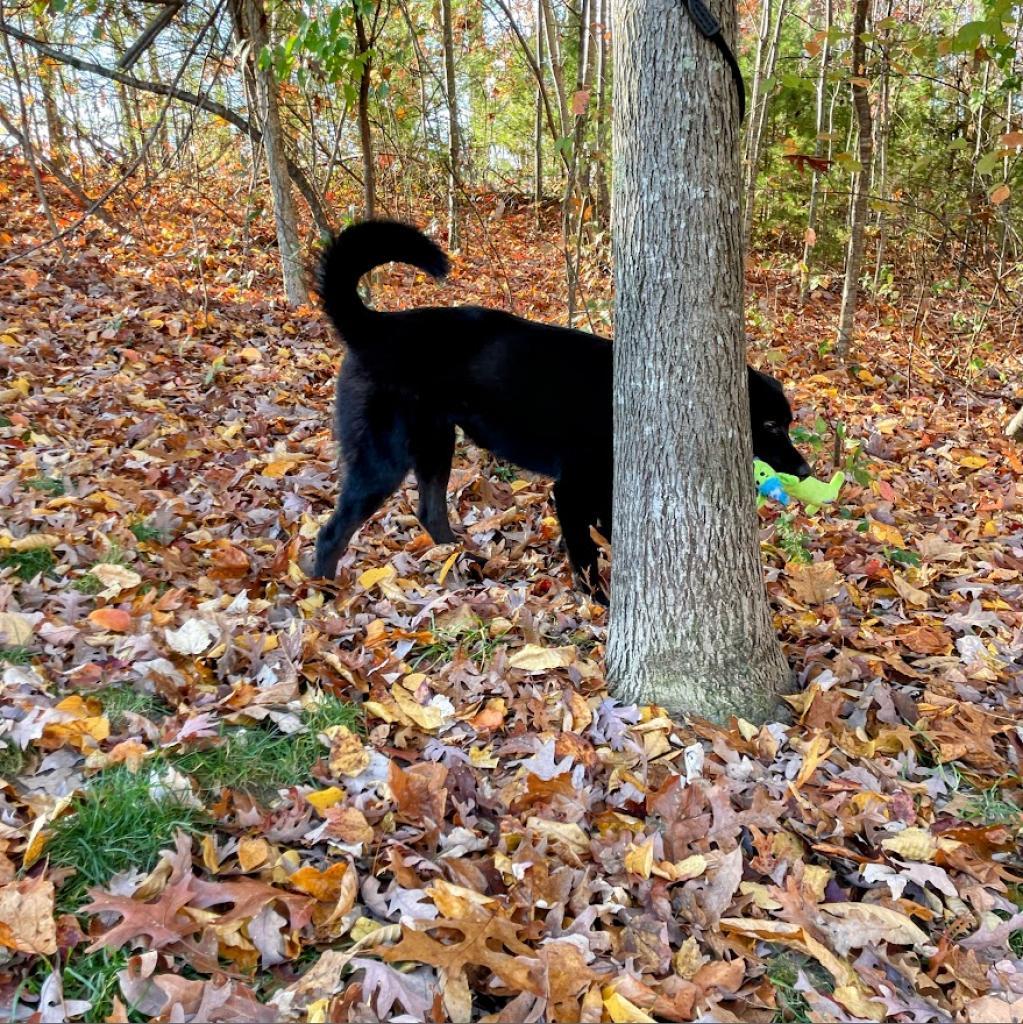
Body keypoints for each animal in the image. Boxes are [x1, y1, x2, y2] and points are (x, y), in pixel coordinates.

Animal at [311, 220, 806, 598]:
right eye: (770, 424)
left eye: (786, 423)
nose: (804, 470)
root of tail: (373, 325)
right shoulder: (571, 490)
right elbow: (585, 554)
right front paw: (597, 603)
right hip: (384, 459)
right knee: (331, 532)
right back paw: (323, 595)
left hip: (436, 444)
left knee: (430, 511)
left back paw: (462, 561)